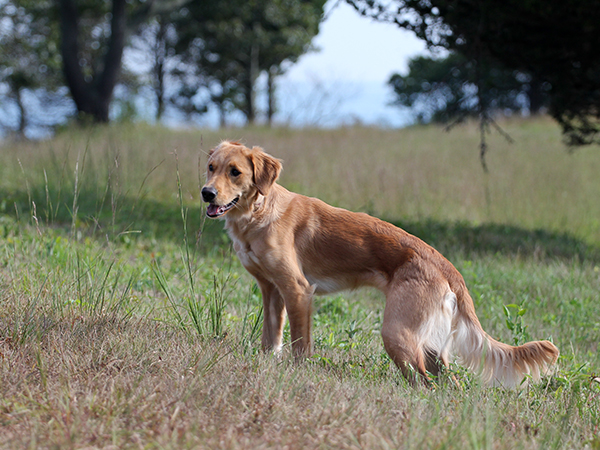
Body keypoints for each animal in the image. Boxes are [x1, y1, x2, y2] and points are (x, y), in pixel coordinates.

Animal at [202, 141, 556, 386]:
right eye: (210, 167)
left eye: (235, 172)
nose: (207, 193)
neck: (258, 212)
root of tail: (447, 267)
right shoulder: (271, 290)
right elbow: (270, 340)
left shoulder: (298, 290)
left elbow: (300, 347)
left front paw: (297, 376)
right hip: (428, 346)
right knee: (447, 385)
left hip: (396, 333)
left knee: (424, 384)